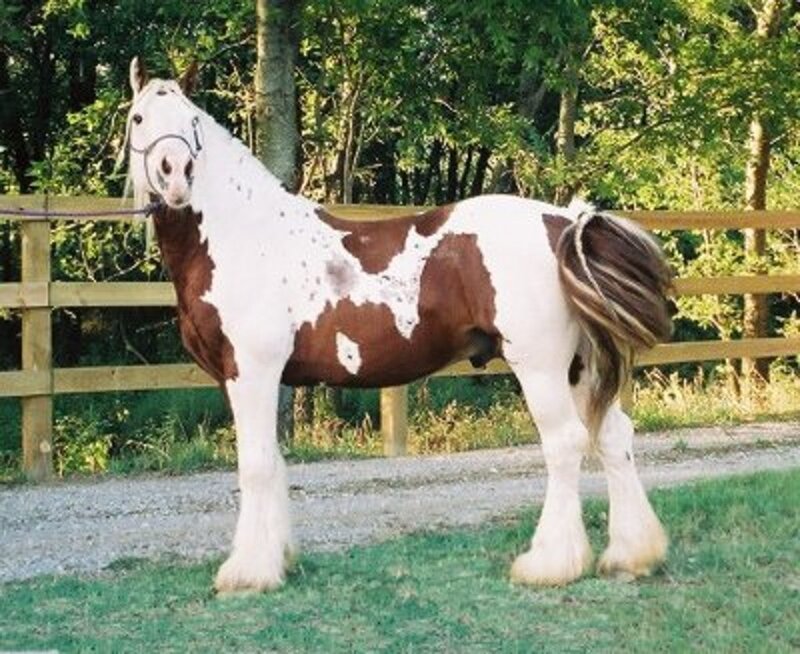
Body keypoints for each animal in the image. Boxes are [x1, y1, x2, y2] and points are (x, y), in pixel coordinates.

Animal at [124, 57, 673, 593]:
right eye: (139, 119)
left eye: (192, 123)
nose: (176, 176)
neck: (244, 237)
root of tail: (563, 222)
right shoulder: (250, 378)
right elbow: (274, 463)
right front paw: (278, 559)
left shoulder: (253, 372)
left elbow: (256, 465)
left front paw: (248, 572)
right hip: (578, 367)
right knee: (613, 436)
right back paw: (630, 556)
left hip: (539, 367)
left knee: (564, 443)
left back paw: (549, 564)